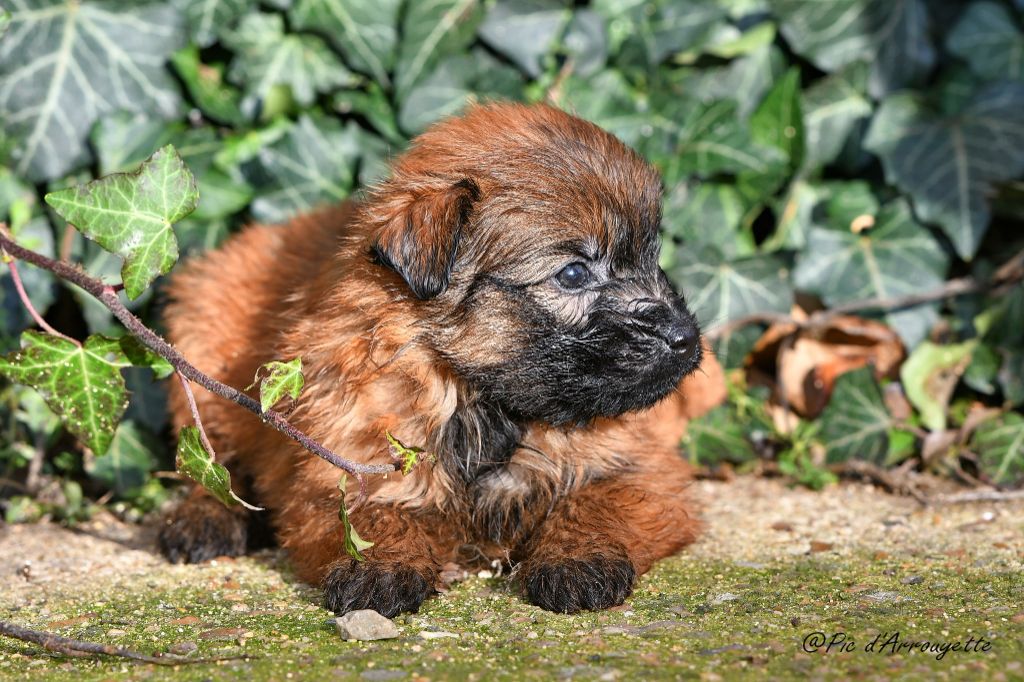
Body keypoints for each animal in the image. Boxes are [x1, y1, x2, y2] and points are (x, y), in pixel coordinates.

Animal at [155, 102, 724, 614]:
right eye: (573, 274)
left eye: (652, 257)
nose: (685, 339)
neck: (479, 398)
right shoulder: (344, 462)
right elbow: (371, 517)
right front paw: (380, 569)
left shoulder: (643, 466)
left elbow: (597, 500)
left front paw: (578, 561)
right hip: (204, 350)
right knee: (210, 460)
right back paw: (202, 520)